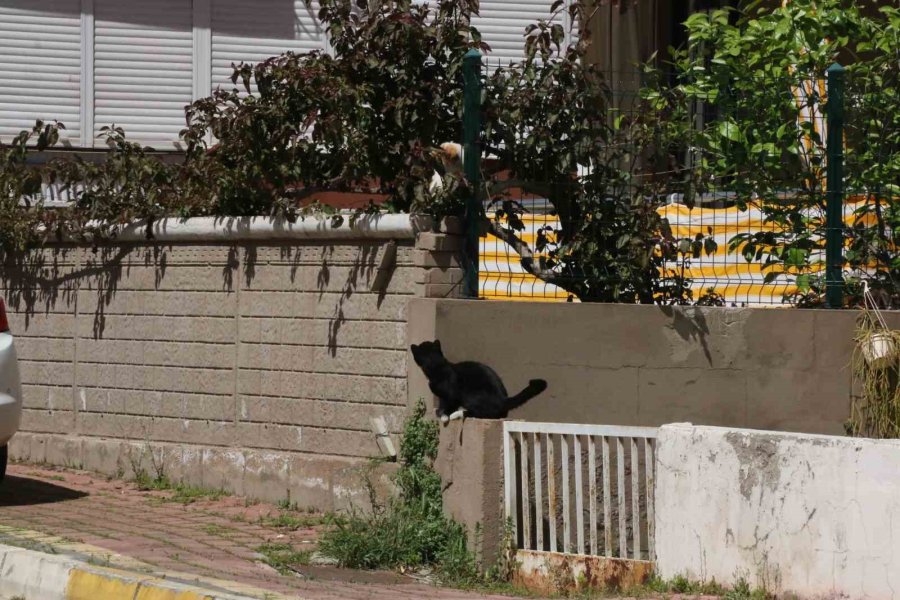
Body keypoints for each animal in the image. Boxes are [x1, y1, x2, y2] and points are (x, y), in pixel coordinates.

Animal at [410, 340, 548, 424]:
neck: (437, 365)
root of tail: (503, 400)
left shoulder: (450, 394)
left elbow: (446, 404)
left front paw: (443, 414)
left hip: (472, 395)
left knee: (481, 413)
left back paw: (458, 413)